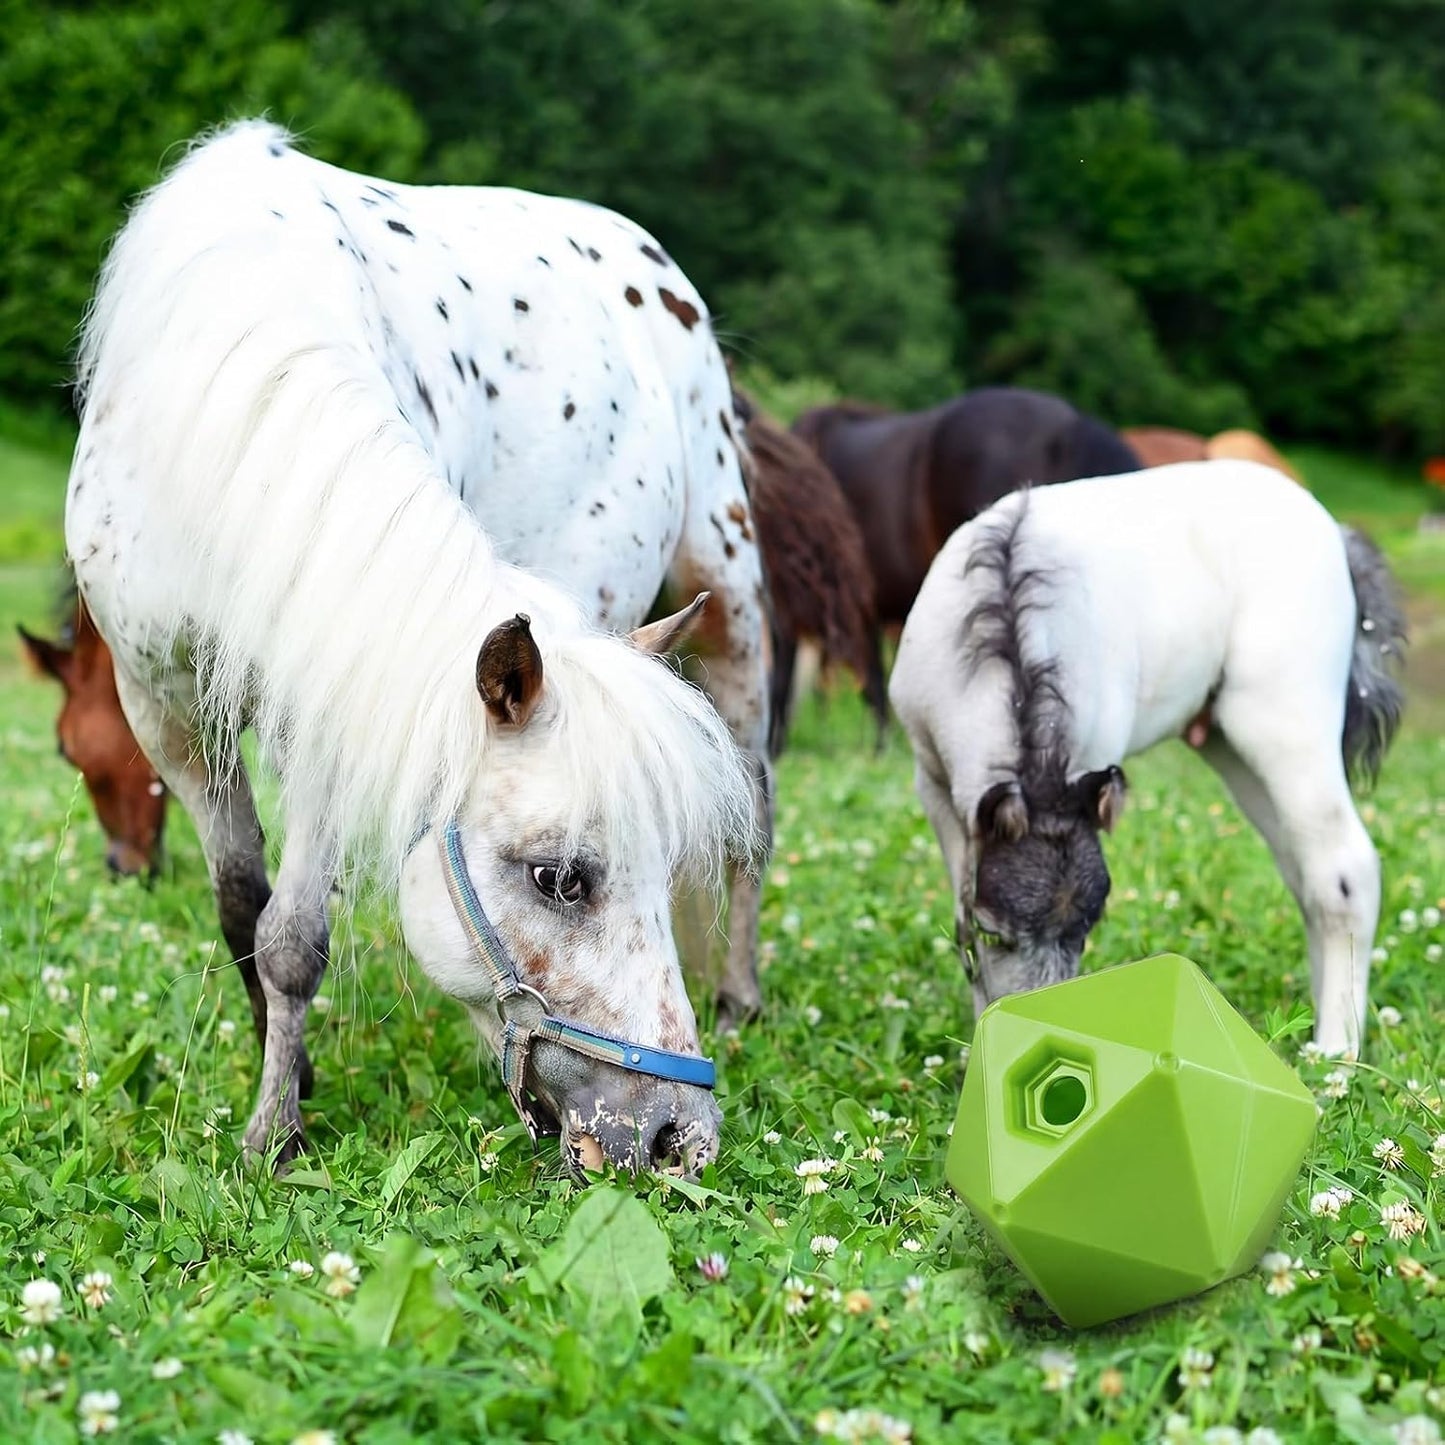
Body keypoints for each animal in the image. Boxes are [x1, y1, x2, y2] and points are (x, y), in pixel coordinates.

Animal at [66, 121, 772, 1176]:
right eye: (559, 878)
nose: (676, 1137)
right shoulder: (169, 715)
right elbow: (244, 911)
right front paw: (288, 1092)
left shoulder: (329, 709)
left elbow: (293, 936)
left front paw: (275, 1131)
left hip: (730, 602)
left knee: (755, 817)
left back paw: (739, 996)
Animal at [890, 460, 1405, 1056]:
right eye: (999, 931)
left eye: (1087, 930)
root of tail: (1337, 534)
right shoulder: (932, 780)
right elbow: (962, 924)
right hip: (1230, 745)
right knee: (1304, 873)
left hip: (1285, 720)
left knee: (1342, 868)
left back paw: (1337, 1052)